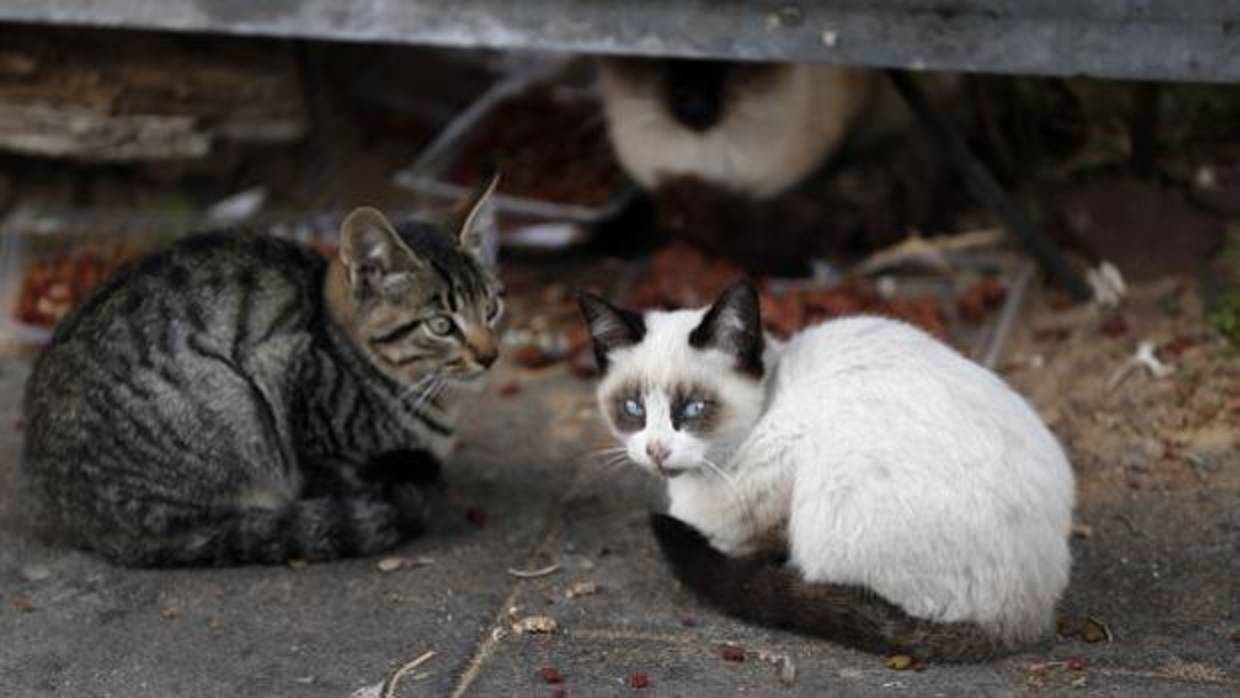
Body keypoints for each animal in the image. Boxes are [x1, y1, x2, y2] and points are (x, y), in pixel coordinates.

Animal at [21, 179, 503, 567]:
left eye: (492, 309)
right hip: (230, 402)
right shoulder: (290, 383)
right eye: (441, 325)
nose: (490, 355)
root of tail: (64, 506)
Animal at [580, 280, 1076, 659]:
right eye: (632, 409)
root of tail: (1022, 617)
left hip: (831, 499)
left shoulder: (764, 503)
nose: (656, 450)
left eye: (694, 409)